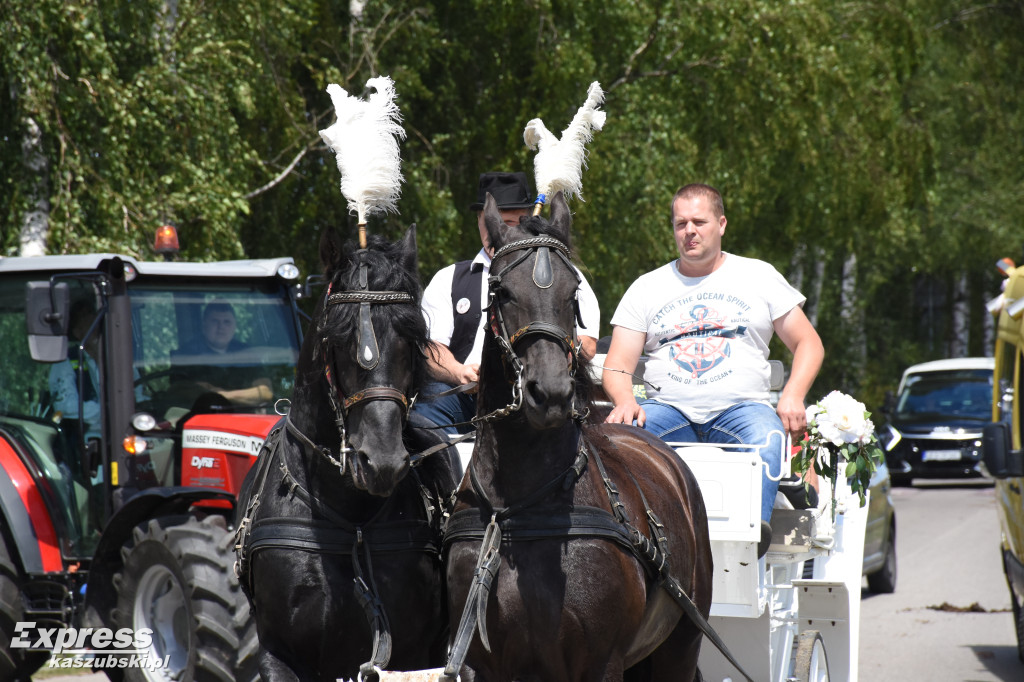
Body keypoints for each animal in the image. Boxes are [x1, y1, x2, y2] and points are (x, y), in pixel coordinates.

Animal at [235, 225, 460, 675]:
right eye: (338, 340)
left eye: (411, 340)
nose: (382, 462)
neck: (351, 521)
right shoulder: (278, 653)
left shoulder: (415, 654)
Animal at [442, 191, 720, 679]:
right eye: (501, 292)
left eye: (572, 294)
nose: (550, 392)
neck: (517, 509)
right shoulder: (484, 662)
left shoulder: (600, 661)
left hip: (681, 643)